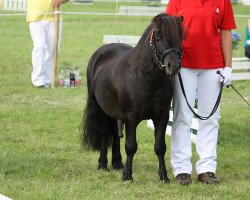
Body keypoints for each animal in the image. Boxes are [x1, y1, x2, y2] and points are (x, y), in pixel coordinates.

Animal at [82, 13, 184, 183]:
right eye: (158, 37)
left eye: (180, 37)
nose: (174, 66)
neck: (146, 79)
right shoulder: (131, 118)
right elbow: (131, 146)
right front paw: (127, 176)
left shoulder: (162, 117)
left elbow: (160, 147)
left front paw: (163, 176)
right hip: (100, 109)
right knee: (104, 133)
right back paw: (103, 163)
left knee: (114, 133)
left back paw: (117, 162)